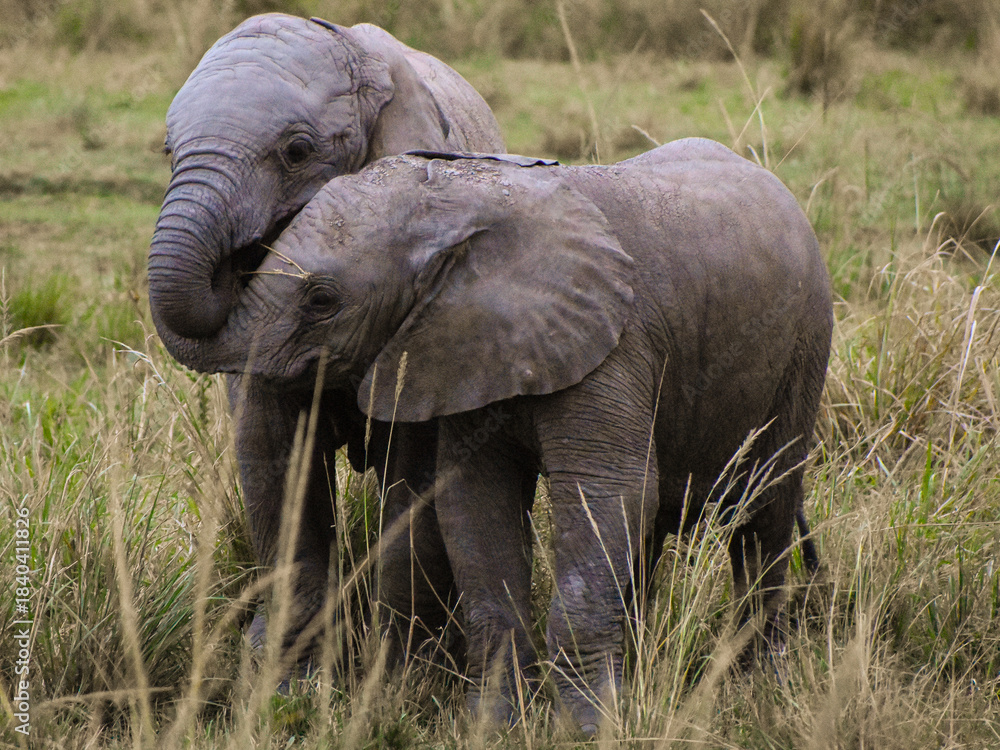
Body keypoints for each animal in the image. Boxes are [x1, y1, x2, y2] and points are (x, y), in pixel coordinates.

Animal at [147, 13, 505, 671]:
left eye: (296, 152)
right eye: (167, 151)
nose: (236, 259)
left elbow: (410, 468)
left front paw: (399, 671)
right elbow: (272, 454)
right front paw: (282, 675)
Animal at [161, 137, 833, 734]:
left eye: (321, 300)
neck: (471, 201)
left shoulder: (614, 344)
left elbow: (605, 491)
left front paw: (590, 729)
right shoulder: (461, 346)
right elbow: (475, 504)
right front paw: (496, 725)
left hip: (806, 349)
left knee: (766, 512)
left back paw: (761, 686)